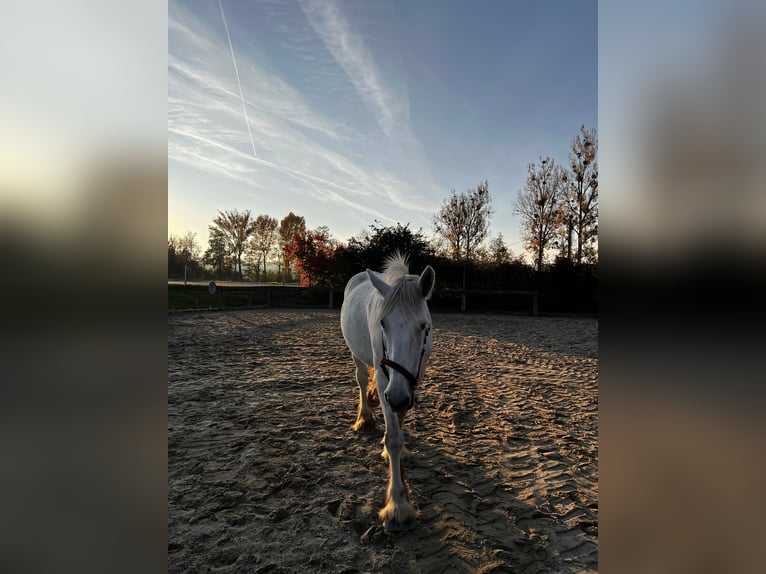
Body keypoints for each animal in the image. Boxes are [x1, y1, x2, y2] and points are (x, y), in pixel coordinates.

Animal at [340, 253, 435, 531]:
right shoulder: (387, 383)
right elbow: (393, 436)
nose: (396, 396)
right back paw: (364, 418)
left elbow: (399, 422)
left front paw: (399, 455)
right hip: (356, 354)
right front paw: (398, 505)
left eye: (424, 327)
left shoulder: (411, 379)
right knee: (362, 380)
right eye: (383, 324)